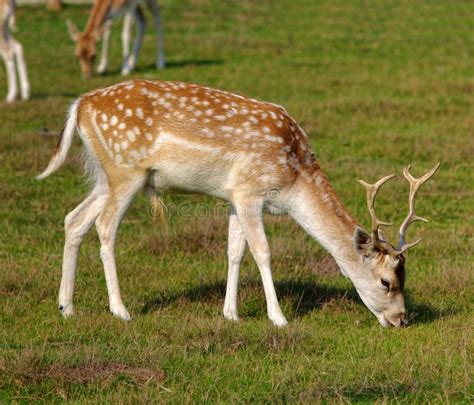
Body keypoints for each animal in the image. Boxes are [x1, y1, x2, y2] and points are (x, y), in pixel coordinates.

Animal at [38, 79, 440, 328]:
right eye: (387, 281)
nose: (401, 320)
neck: (294, 177)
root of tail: (79, 106)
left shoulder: (232, 196)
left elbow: (234, 251)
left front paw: (230, 313)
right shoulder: (250, 191)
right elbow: (262, 251)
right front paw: (278, 318)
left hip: (104, 176)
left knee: (74, 219)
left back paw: (66, 307)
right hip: (126, 170)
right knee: (104, 226)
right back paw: (120, 310)